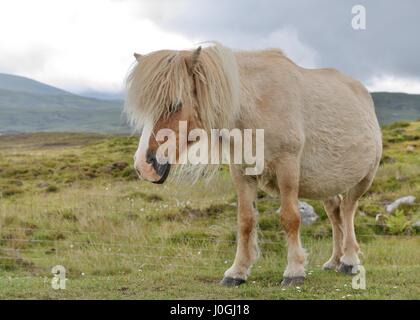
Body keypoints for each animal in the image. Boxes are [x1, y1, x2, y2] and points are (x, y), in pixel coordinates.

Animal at [124, 43, 380, 288]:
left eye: (175, 105)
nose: (143, 166)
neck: (258, 102)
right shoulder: (242, 171)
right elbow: (246, 221)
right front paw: (237, 272)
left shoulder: (287, 167)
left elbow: (290, 218)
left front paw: (294, 271)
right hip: (326, 185)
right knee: (335, 212)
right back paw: (335, 260)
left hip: (364, 179)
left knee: (347, 210)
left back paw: (349, 260)